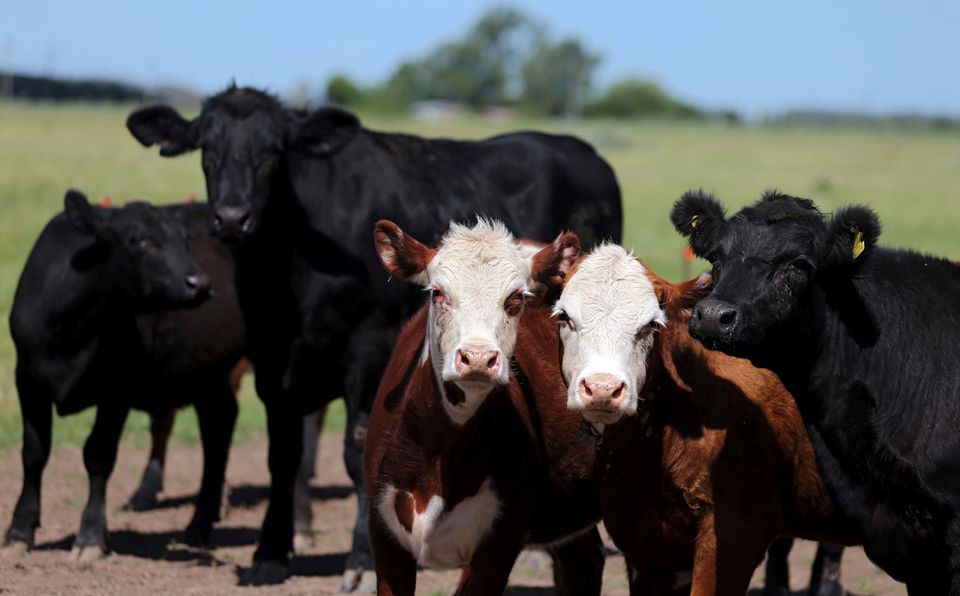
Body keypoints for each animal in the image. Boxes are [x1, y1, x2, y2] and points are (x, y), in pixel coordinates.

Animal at [4, 193, 244, 560]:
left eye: (184, 241)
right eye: (138, 240)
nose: (201, 284)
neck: (69, 331)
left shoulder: (116, 388)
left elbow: (98, 455)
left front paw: (90, 537)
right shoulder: (28, 379)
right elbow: (34, 453)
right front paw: (19, 531)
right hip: (208, 373)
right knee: (219, 427)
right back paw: (198, 527)